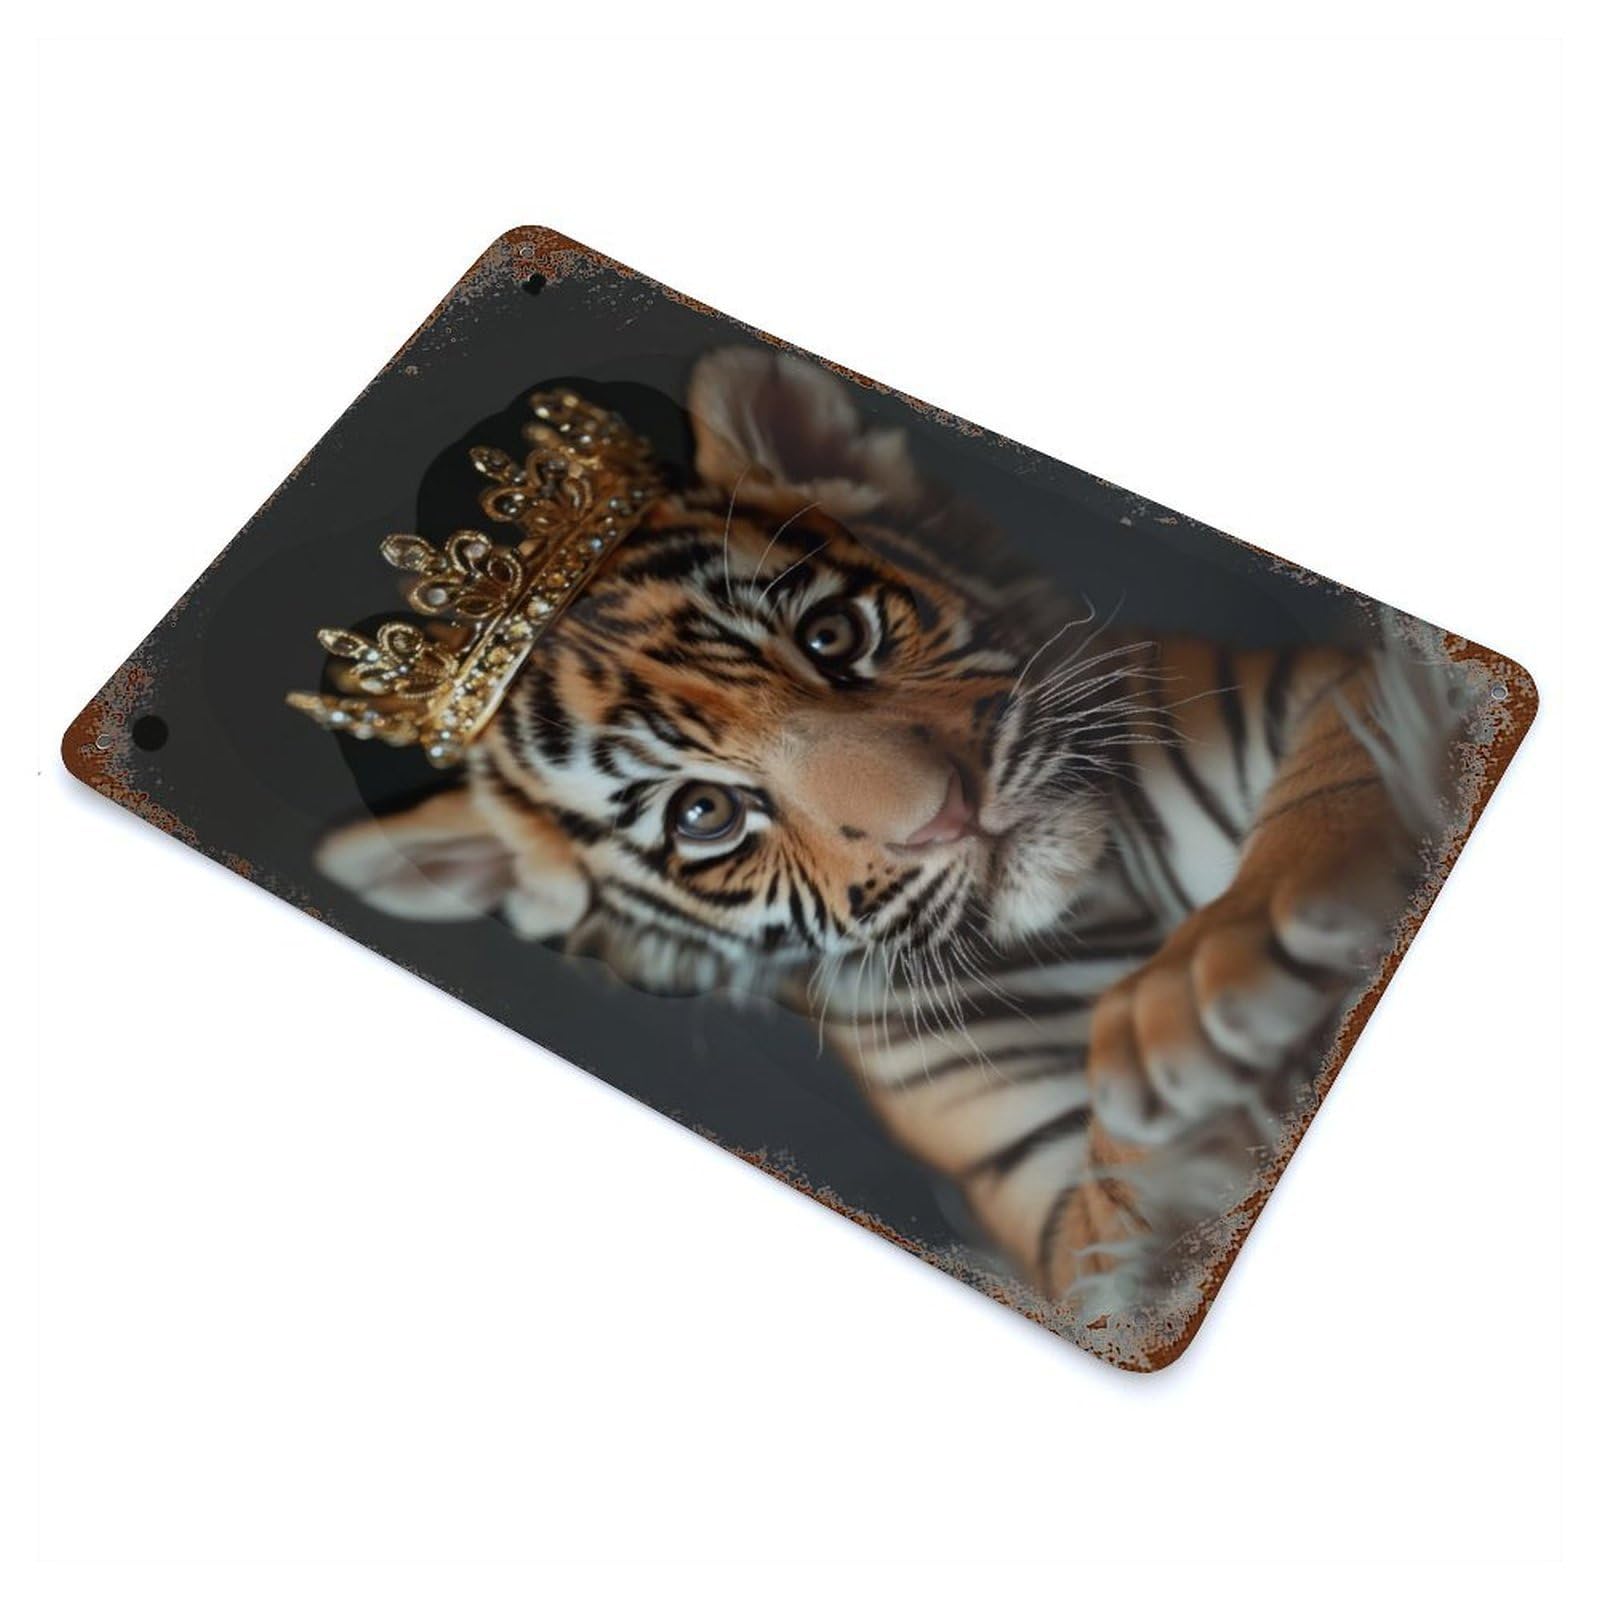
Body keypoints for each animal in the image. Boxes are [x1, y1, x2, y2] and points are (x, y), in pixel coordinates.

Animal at [316, 346, 1472, 1349]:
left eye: (831, 635)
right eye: (704, 816)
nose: (947, 814)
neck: (1097, 901)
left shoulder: (1323, 682)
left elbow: (1340, 773)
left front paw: (1195, 987)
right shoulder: (1062, 1229)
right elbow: (1120, 1179)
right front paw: (1172, 1049)